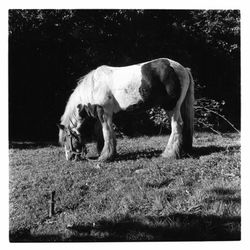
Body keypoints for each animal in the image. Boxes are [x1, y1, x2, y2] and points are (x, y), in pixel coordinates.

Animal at [59, 57, 195, 161]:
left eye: (66, 139)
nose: (69, 158)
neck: (93, 86)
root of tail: (183, 69)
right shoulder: (100, 114)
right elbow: (101, 133)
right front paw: (104, 152)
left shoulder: (104, 112)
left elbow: (107, 132)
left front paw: (105, 157)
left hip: (171, 107)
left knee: (177, 125)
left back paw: (169, 154)